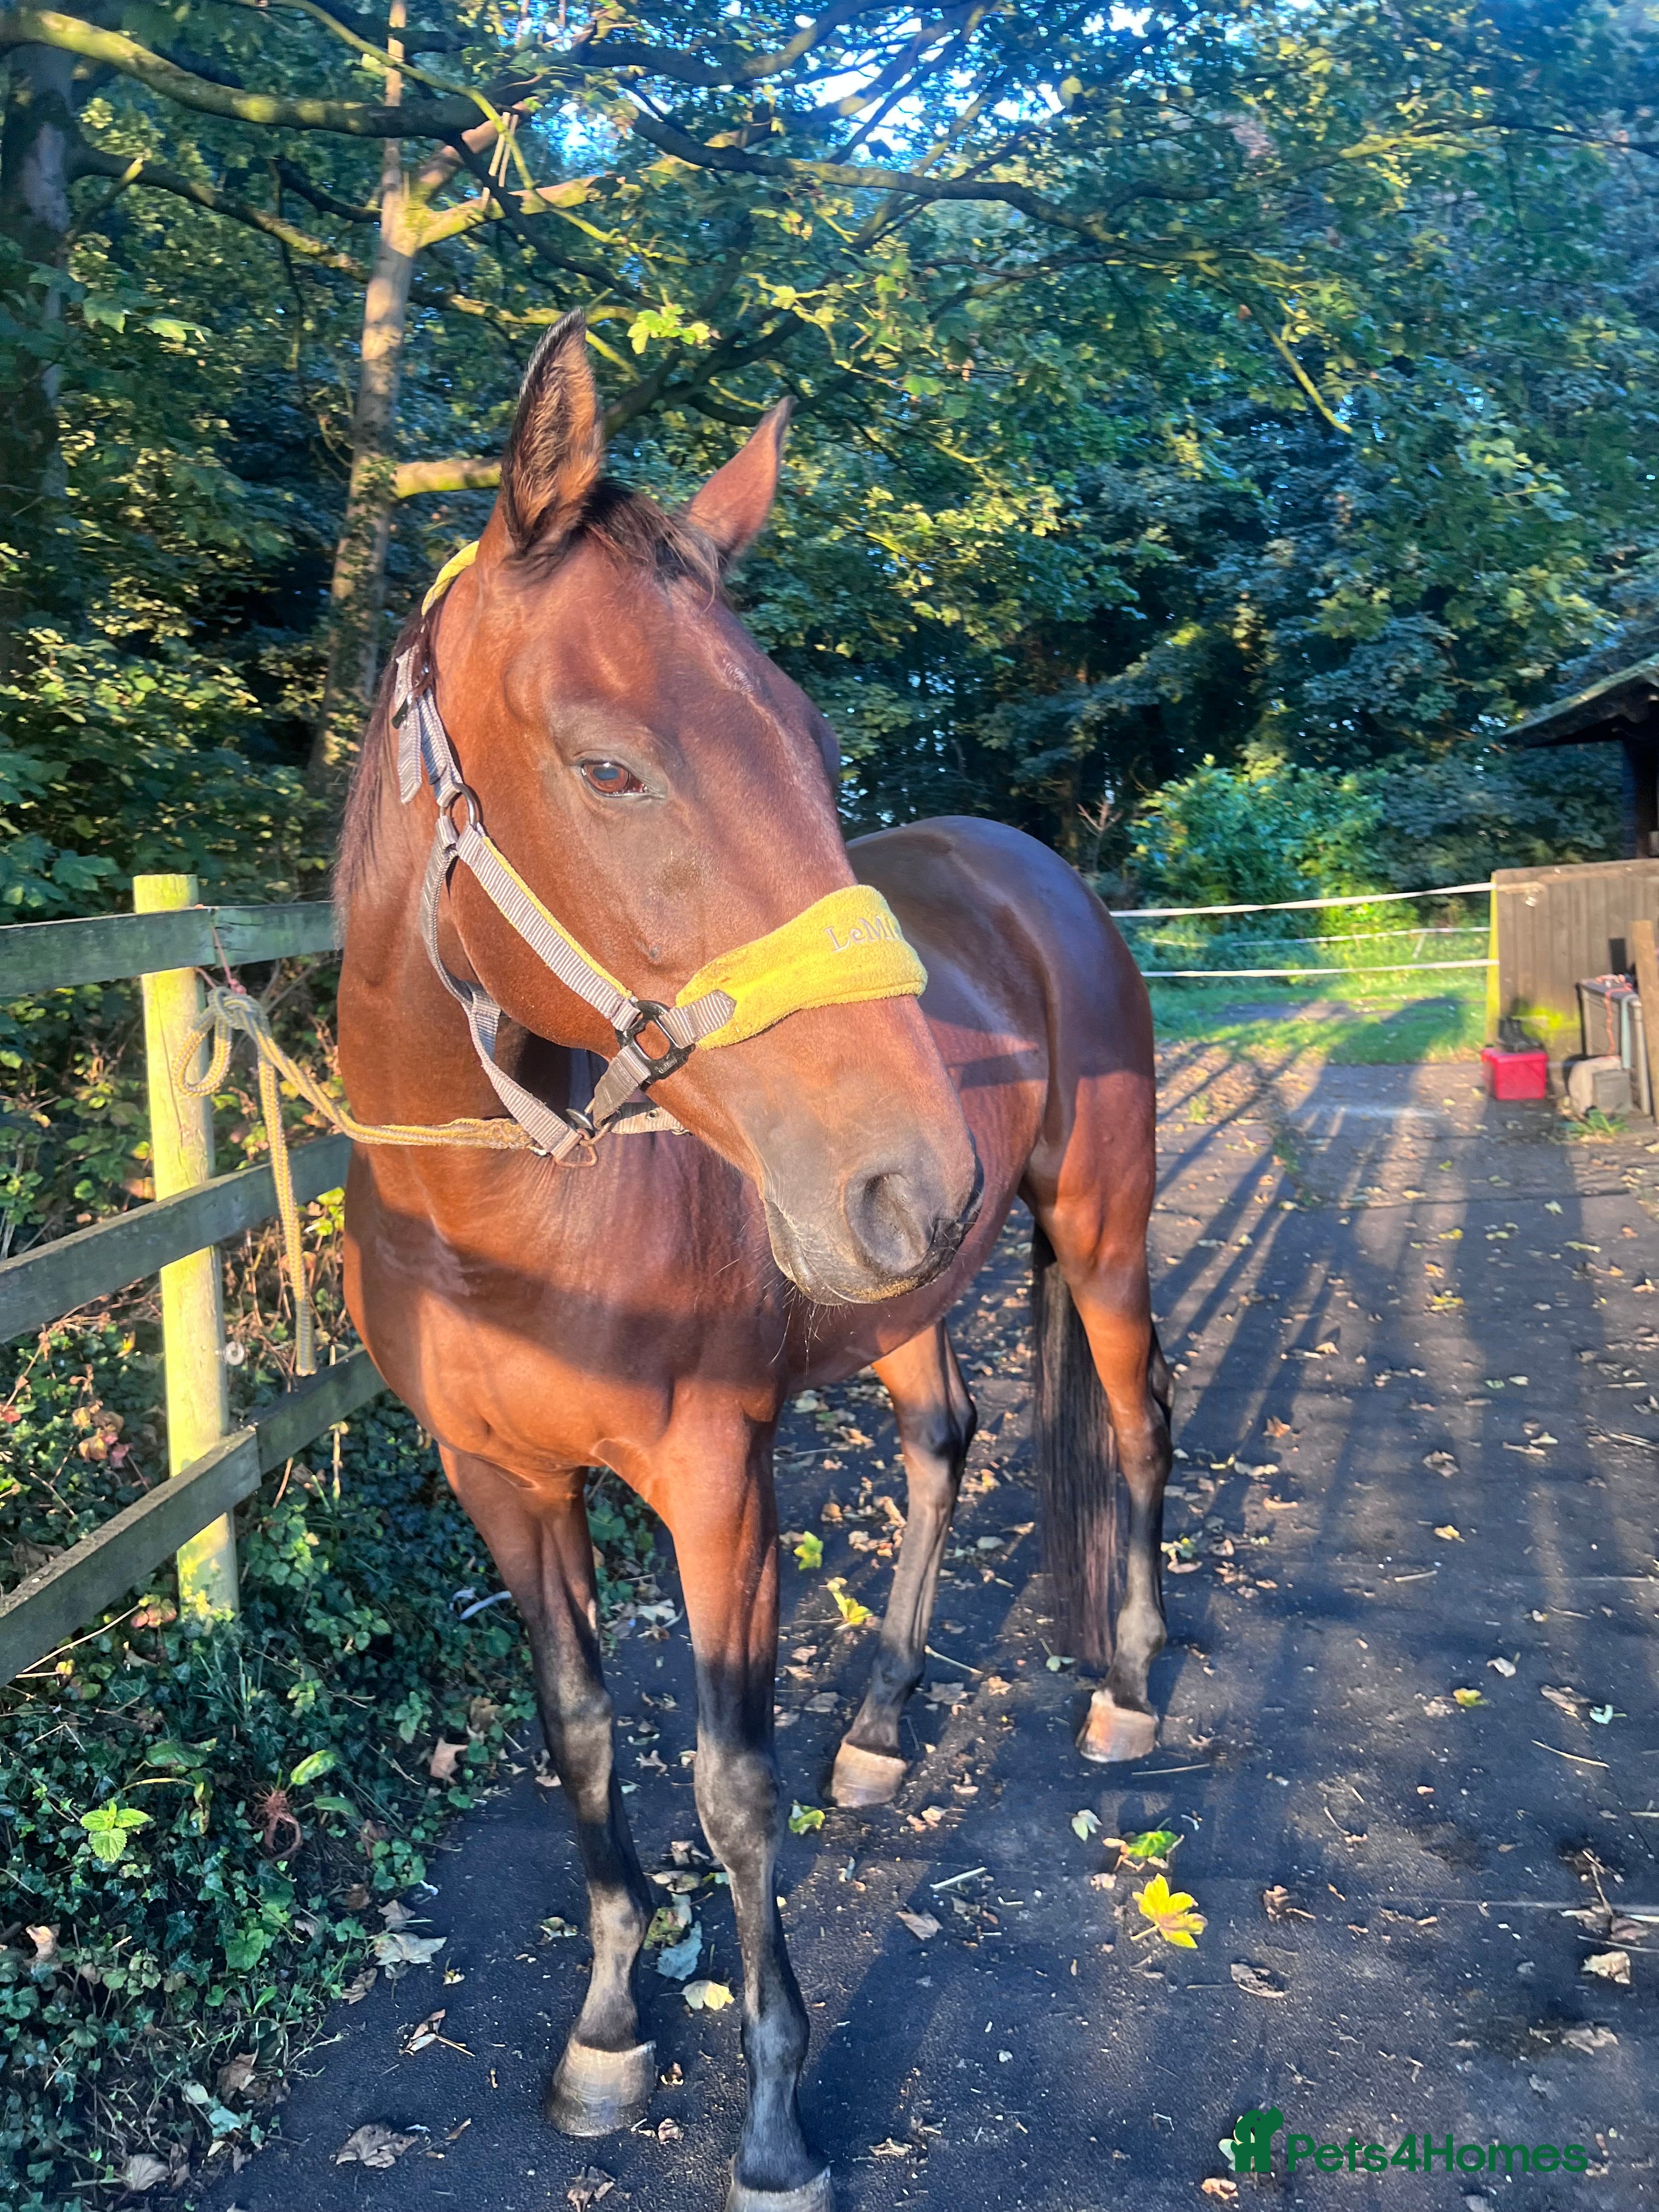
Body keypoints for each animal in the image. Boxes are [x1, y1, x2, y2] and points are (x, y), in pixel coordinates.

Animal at [336, 313, 1172, 2212]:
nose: (913, 1173)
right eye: (607, 765)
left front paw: (779, 2113)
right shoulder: (501, 1481)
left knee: (1139, 1426)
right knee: (943, 1448)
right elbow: (581, 1735)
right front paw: (607, 2029)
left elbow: (732, 1785)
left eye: (810, 740)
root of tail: (1038, 872)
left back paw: (1131, 1682)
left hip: (1097, 1239)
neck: (517, 1221)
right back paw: (888, 1719)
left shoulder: (720, 1485)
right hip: (903, 1301)